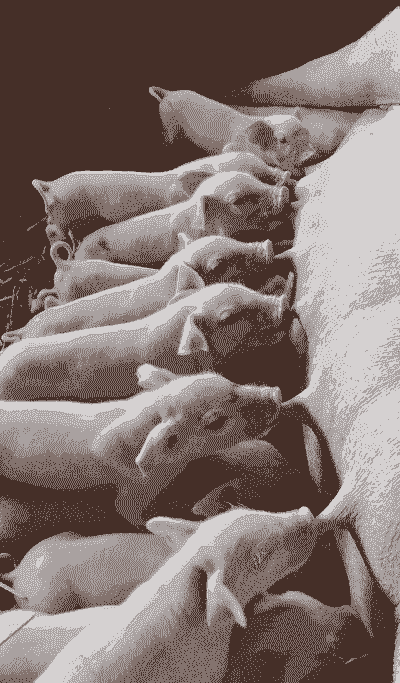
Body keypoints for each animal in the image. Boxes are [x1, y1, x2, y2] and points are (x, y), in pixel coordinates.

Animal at [0, 367, 281, 526]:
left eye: (226, 379)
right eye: (216, 422)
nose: (275, 394)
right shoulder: (132, 492)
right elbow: (125, 511)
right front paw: (148, 522)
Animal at [150, 86, 317, 172]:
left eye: (307, 133)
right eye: (282, 140)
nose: (309, 153)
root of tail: (168, 94)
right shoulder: (232, 146)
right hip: (168, 122)